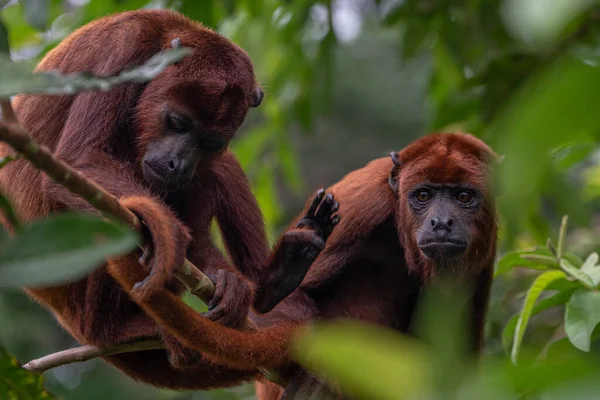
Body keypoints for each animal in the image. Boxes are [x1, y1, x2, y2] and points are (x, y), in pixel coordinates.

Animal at [0, 8, 328, 390]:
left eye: (209, 142)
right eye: (177, 123)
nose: (177, 163)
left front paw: (225, 275)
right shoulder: (123, 50)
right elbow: (80, 158)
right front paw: (166, 229)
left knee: (220, 169)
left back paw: (273, 278)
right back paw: (123, 327)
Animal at [103, 131, 496, 396]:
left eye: (464, 197)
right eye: (423, 195)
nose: (441, 223)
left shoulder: (484, 250)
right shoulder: (362, 203)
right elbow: (264, 308)